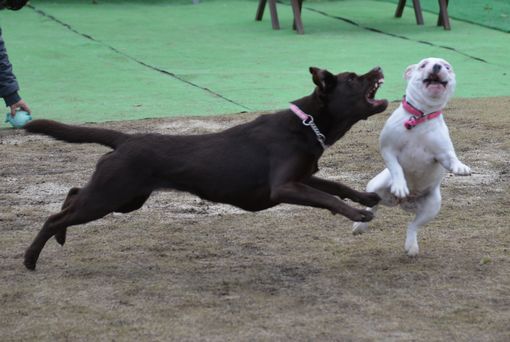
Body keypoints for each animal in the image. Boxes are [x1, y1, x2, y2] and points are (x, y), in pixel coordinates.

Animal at [20, 67, 386, 270]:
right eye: (353, 78)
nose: (379, 66)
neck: (308, 124)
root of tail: (126, 138)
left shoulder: (303, 176)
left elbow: (336, 186)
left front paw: (366, 198)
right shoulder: (285, 186)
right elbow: (327, 198)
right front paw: (357, 214)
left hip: (126, 199)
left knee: (73, 193)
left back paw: (60, 238)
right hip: (110, 196)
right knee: (56, 216)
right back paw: (31, 258)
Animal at [352, 57, 472, 255]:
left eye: (447, 66)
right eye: (423, 64)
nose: (437, 66)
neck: (421, 115)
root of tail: (403, 202)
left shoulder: (442, 154)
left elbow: (451, 158)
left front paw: (460, 166)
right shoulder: (388, 150)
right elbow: (397, 168)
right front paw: (400, 185)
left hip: (433, 205)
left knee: (413, 225)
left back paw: (411, 246)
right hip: (375, 186)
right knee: (373, 205)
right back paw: (359, 226)